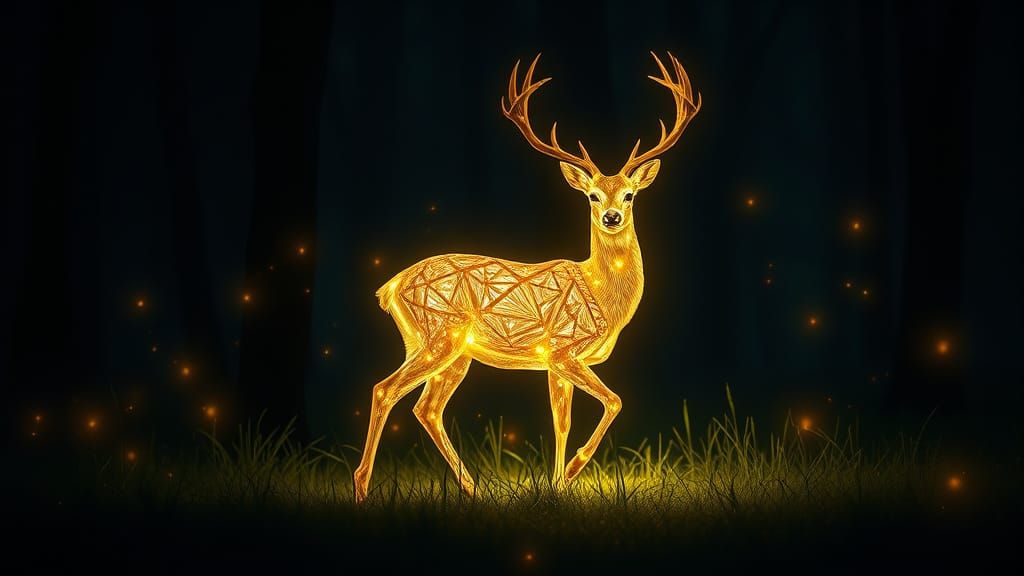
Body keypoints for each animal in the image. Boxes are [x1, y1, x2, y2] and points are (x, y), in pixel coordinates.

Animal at [354, 52, 700, 503]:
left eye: (629, 195)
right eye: (592, 196)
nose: (611, 216)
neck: (603, 296)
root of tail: (389, 287)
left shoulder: (555, 361)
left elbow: (561, 421)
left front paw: (559, 485)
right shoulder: (563, 349)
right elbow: (614, 400)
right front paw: (573, 469)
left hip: (449, 348)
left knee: (426, 408)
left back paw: (472, 488)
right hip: (439, 333)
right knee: (386, 389)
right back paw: (362, 489)